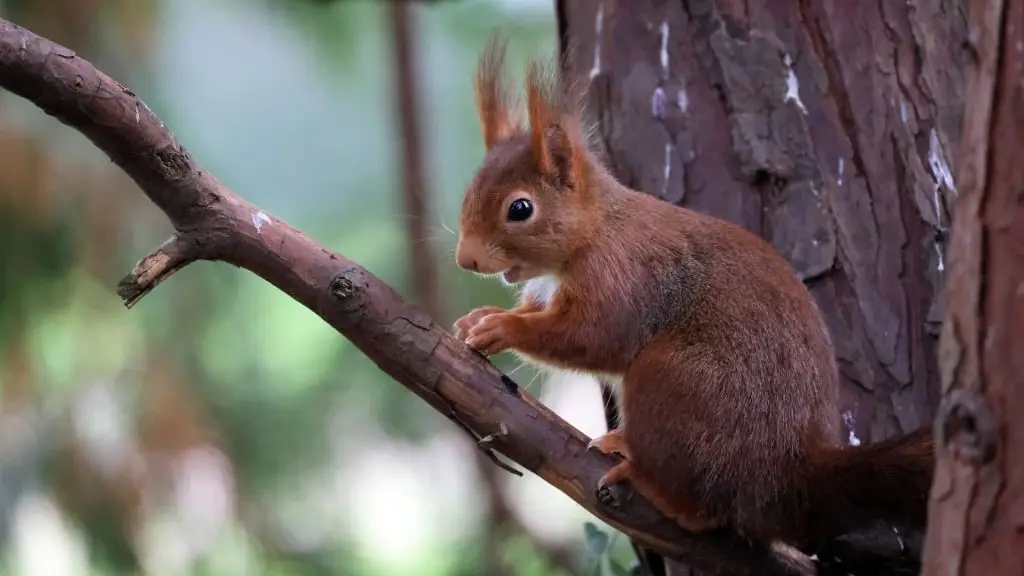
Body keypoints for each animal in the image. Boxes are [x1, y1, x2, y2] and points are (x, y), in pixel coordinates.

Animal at [454, 36, 937, 553]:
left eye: (520, 209)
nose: (465, 259)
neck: (595, 231)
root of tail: (788, 474)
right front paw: (479, 317)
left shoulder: (623, 276)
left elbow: (592, 336)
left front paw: (504, 328)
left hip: (675, 381)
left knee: (704, 510)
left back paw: (642, 473)